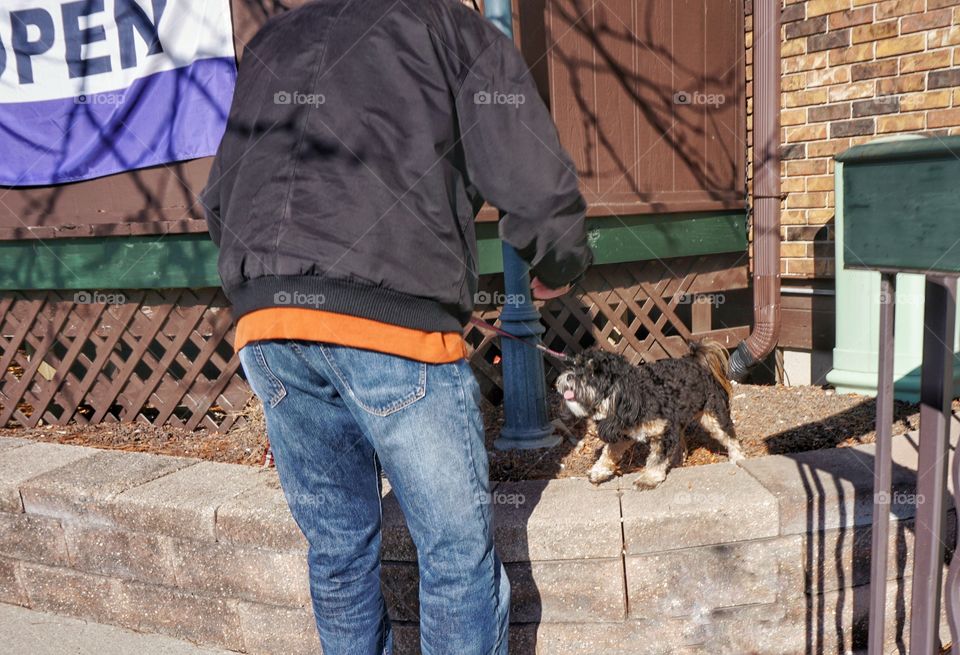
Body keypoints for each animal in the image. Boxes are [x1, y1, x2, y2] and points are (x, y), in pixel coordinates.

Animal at [556, 344, 744, 492]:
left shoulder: (663, 432)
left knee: (729, 436)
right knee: (681, 439)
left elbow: (656, 459)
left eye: (593, 374)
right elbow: (608, 452)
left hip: (713, 415)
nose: (569, 376)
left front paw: (648, 479)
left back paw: (738, 458)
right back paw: (678, 459)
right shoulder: (623, 433)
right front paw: (598, 471)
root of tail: (696, 363)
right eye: (575, 365)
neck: (637, 397)